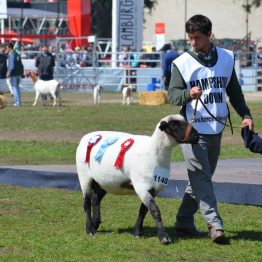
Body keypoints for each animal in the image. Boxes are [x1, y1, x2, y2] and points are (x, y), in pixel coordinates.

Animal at [75, 113, 199, 245]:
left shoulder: (153, 189)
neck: (154, 152)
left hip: (105, 182)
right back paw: (90, 230)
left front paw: (137, 232)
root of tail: (86, 137)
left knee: (95, 200)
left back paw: (95, 224)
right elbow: (155, 211)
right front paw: (164, 237)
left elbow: (143, 210)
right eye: (175, 125)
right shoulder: (142, 186)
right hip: (84, 176)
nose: (197, 136)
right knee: (87, 203)